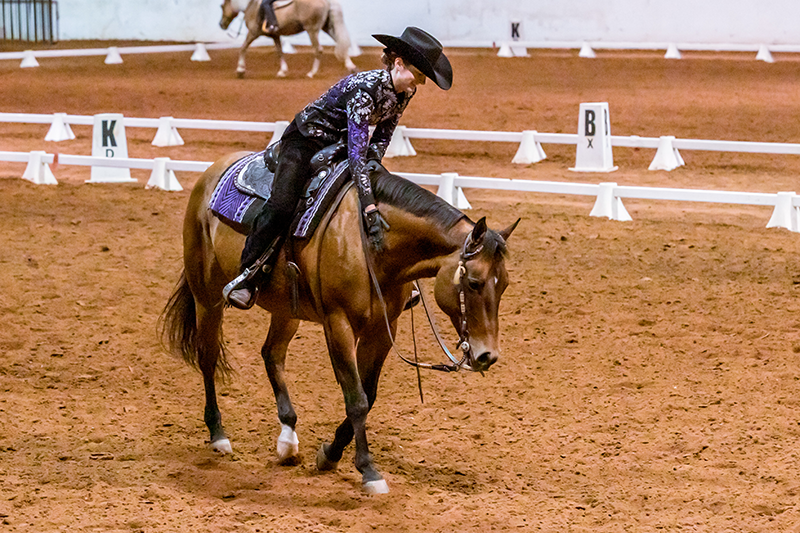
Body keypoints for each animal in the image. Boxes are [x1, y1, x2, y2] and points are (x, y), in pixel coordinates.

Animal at [160, 152, 520, 492]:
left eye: (503, 285)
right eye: (473, 282)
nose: (487, 355)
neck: (372, 246)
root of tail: (212, 171)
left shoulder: (382, 330)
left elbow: (367, 396)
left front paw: (329, 454)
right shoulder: (339, 324)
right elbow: (356, 399)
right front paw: (368, 471)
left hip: (287, 310)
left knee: (271, 354)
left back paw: (288, 439)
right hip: (206, 296)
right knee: (208, 357)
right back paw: (218, 434)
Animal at [219, 0, 356, 78]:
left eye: (222, 6)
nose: (221, 24)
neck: (252, 6)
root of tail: (327, 2)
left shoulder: (253, 33)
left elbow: (243, 48)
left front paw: (240, 70)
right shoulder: (275, 35)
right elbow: (280, 52)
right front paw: (282, 72)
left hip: (312, 30)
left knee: (318, 49)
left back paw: (312, 73)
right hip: (326, 28)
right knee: (340, 43)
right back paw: (351, 67)